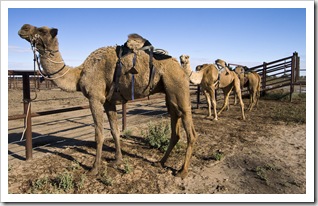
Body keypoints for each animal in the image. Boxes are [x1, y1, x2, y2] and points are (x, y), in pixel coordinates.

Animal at [18, 23, 198, 179]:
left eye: (42, 30)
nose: (23, 28)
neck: (79, 73)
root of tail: (180, 68)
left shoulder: (95, 98)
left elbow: (99, 134)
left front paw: (94, 168)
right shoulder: (108, 101)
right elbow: (114, 130)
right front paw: (117, 160)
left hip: (179, 90)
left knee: (191, 132)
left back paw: (182, 171)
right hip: (170, 96)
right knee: (175, 129)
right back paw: (160, 162)